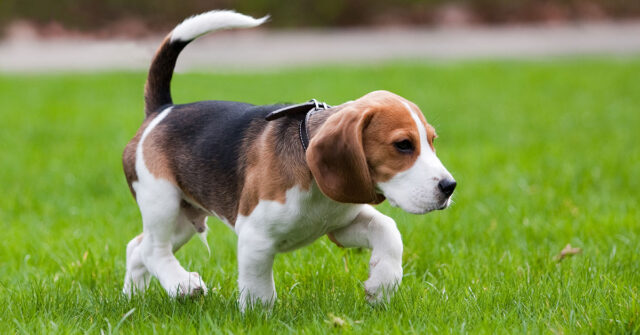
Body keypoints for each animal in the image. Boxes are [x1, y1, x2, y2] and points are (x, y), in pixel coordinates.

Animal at [122, 10, 456, 312]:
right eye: (403, 145)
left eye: (432, 141)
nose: (450, 186)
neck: (314, 181)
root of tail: (163, 110)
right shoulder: (255, 236)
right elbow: (259, 288)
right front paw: (258, 316)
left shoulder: (341, 225)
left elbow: (388, 230)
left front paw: (382, 285)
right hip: (161, 200)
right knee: (153, 250)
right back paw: (182, 284)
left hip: (184, 219)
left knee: (136, 247)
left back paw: (132, 298)